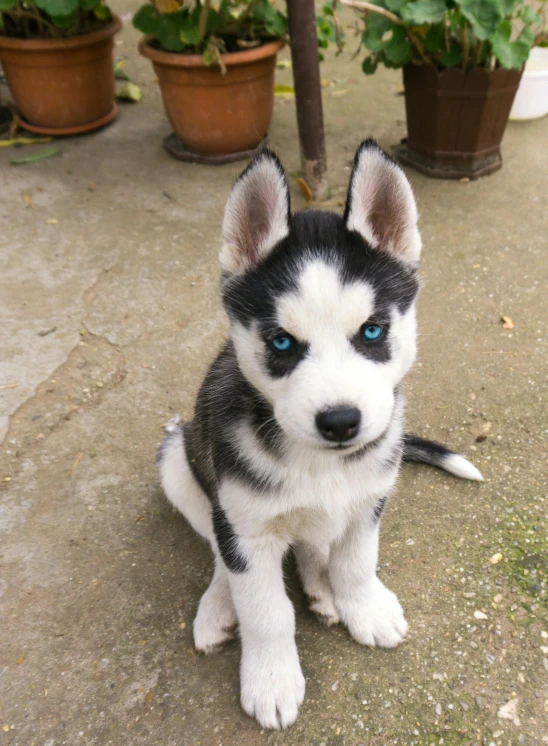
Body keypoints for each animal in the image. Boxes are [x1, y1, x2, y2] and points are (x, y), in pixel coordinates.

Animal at [157, 140, 480, 728]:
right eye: (282, 343)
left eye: (372, 331)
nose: (340, 421)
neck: (318, 463)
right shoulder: (247, 528)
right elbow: (265, 609)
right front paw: (271, 678)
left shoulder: (370, 499)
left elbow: (357, 561)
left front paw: (361, 605)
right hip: (178, 458)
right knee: (218, 548)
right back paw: (219, 604)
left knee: (313, 542)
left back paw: (322, 586)